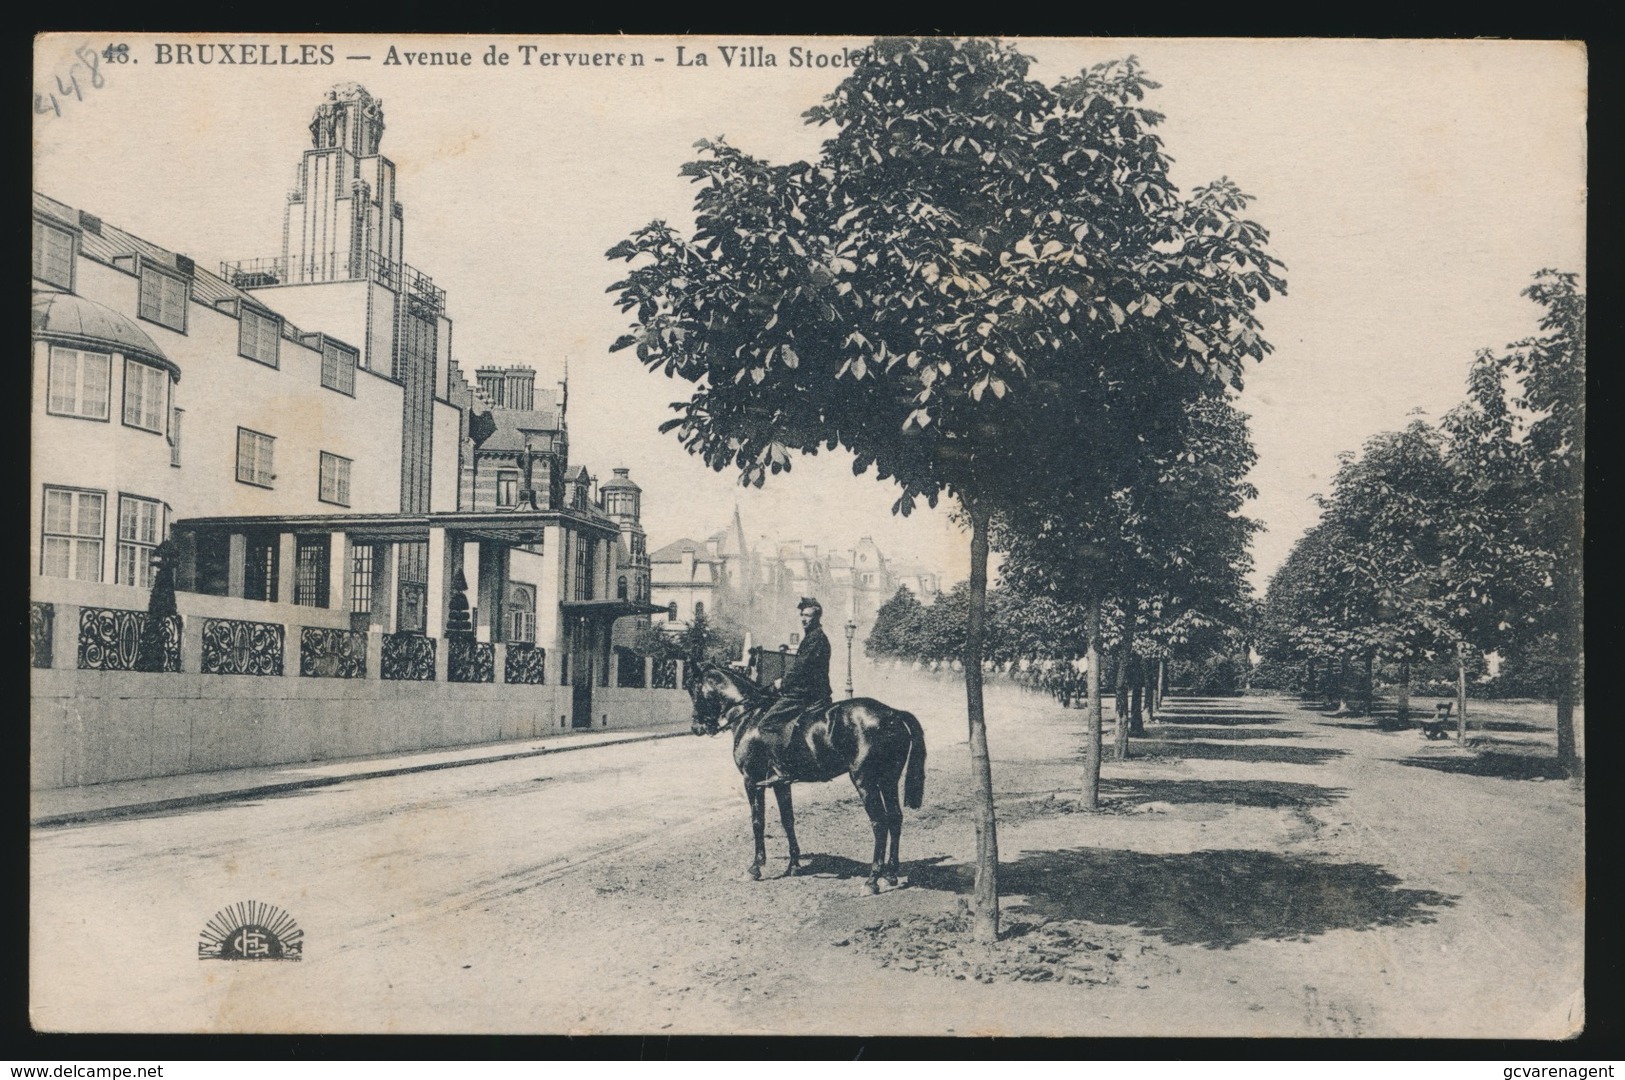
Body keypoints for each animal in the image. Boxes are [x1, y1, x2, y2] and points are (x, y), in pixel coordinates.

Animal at [685, 662, 929, 889]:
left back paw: (872, 880)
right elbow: (788, 820)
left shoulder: (751, 780)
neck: (751, 716)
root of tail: (892, 713)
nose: (697, 727)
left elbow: (757, 821)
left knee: (879, 822)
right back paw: (891, 874)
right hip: (888, 780)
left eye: (694, 690)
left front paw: (755, 867)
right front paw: (793, 864)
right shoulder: (780, 784)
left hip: (865, 781)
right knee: (895, 818)